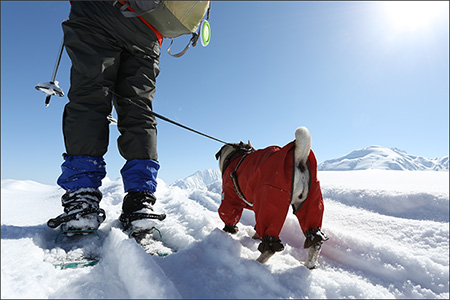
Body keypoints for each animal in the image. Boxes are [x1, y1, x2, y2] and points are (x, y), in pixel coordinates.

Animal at [214, 126, 326, 268]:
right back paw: (309, 264)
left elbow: (229, 215)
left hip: (271, 200)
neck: (235, 156)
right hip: (310, 200)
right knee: (314, 238)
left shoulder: (229, 197)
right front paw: (255, 236)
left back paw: (257, 262)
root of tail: (299, 158)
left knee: (270, 247)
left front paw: (229, 230)